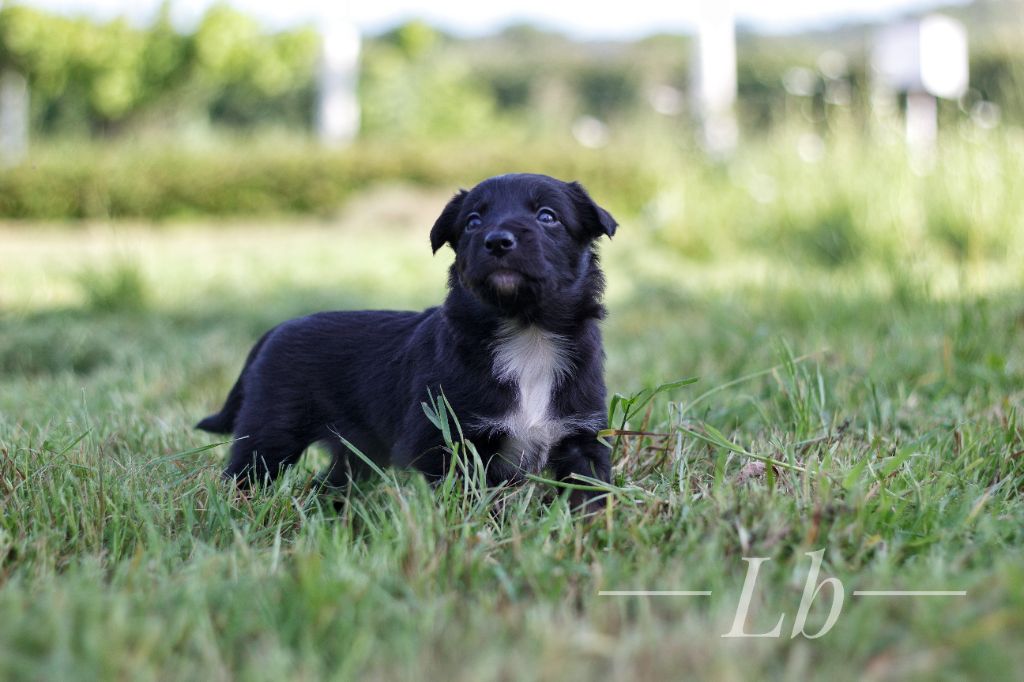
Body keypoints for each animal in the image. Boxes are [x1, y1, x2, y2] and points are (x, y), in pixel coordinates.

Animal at [197, 173, 614, 507]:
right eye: (473, 222)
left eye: (548, 216)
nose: (497, 241)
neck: (526, 331)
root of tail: (276, 329)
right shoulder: (444, 442)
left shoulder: (582, 438)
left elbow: (591, 494)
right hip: (269, 434)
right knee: (245, 474)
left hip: (357, 451)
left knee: (330, 483)